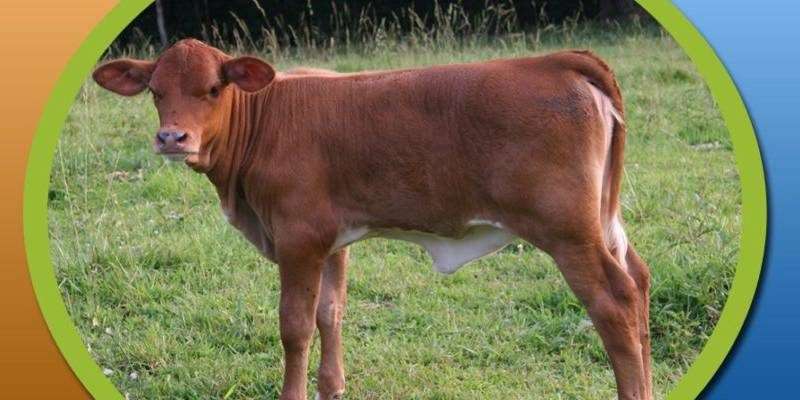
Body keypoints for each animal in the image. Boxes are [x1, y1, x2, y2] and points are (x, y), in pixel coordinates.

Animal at [92, 38, 652, 400]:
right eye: (156, 90)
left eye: (213, 88)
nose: (172, 138)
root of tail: (558, 62)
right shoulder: (332, 239)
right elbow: (331, 312)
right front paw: (332, 388)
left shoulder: (298, 237)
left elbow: (295, 325)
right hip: (603, 223)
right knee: (640, 280)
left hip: (568, 232)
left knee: (615, 301)